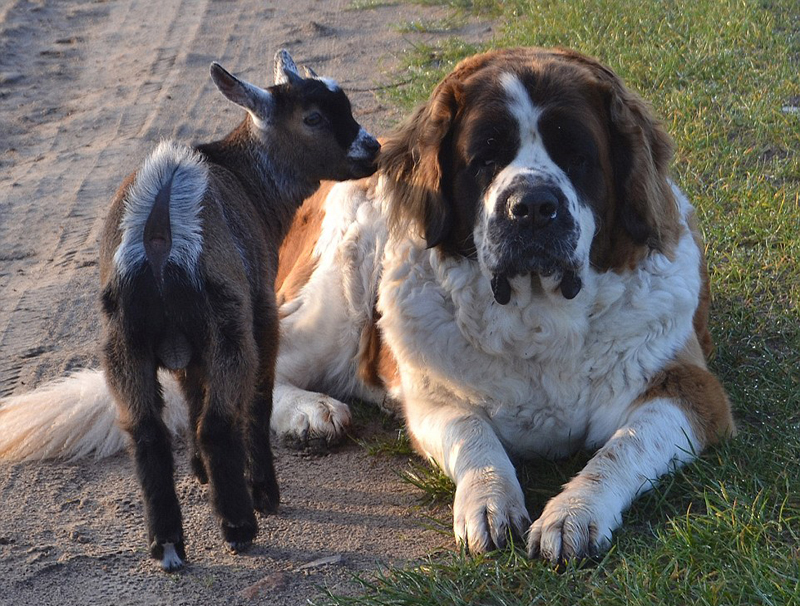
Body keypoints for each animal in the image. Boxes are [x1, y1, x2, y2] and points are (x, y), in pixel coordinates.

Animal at [98, 50, 380, 572]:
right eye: (313, 117)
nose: (372, 149)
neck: (246, 178)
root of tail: (158, 238)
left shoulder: (187, 349)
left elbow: (190, 391)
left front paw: (200, 473)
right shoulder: (262, 313)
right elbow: (259, 400)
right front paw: (264, 493)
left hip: (122, 341)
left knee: (146, 434)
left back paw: (167, 543)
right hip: (229, 327)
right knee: (219, 423)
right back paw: (241, 524)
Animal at [272, 48, 736, 564]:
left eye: (576, 156)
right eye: (486, 158)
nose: (532, 206)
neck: (536, 316)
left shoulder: (690, 390)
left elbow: (622, 448)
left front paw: (573, 513)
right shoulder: (435, 399)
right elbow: (473, 436)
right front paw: (489, 502)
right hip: (340, 295)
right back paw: (311, 412)